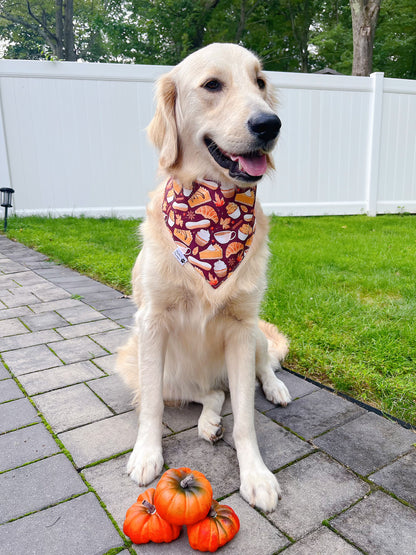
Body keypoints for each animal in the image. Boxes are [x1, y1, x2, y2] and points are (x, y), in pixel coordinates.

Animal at [115, 42, 290, 512]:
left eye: (260, 82)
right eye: (213, 84)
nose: (270, 124)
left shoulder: (242, 328)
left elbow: (246, 417)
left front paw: (256, 475)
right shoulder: (152, 323)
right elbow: (152, 407)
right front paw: (146, 453)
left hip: (255, 338)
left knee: (260, 370)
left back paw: (275, 389)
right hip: (153, 367)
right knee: (210, 393)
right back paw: (209, 421)